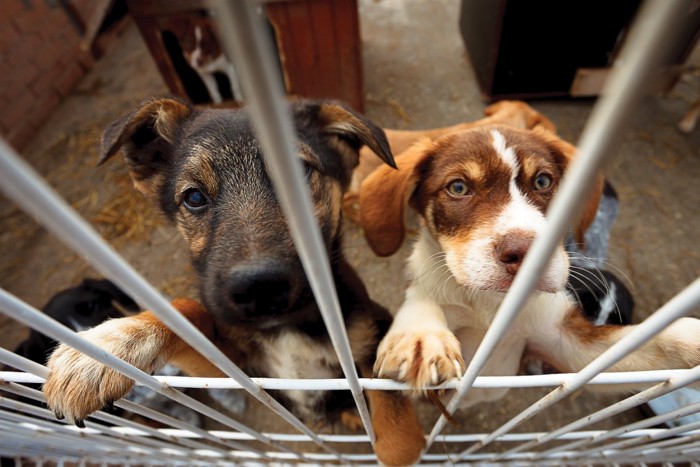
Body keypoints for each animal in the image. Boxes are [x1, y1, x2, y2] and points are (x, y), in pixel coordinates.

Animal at [45, 97, 426, 466]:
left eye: (300, 175)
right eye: (193, 197)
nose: (259, 287)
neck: (286, 329)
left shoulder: (369, 336)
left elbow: (394, 433)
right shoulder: (238, 370)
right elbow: (185, 312)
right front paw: (104, 349)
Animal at [358, 111, 696, 408]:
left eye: (543, 181)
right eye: (458, 187)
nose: (528, 254)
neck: (489, 306)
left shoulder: (566, 344)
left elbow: (649, 339)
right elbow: (421, 300)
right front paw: (420, 336)